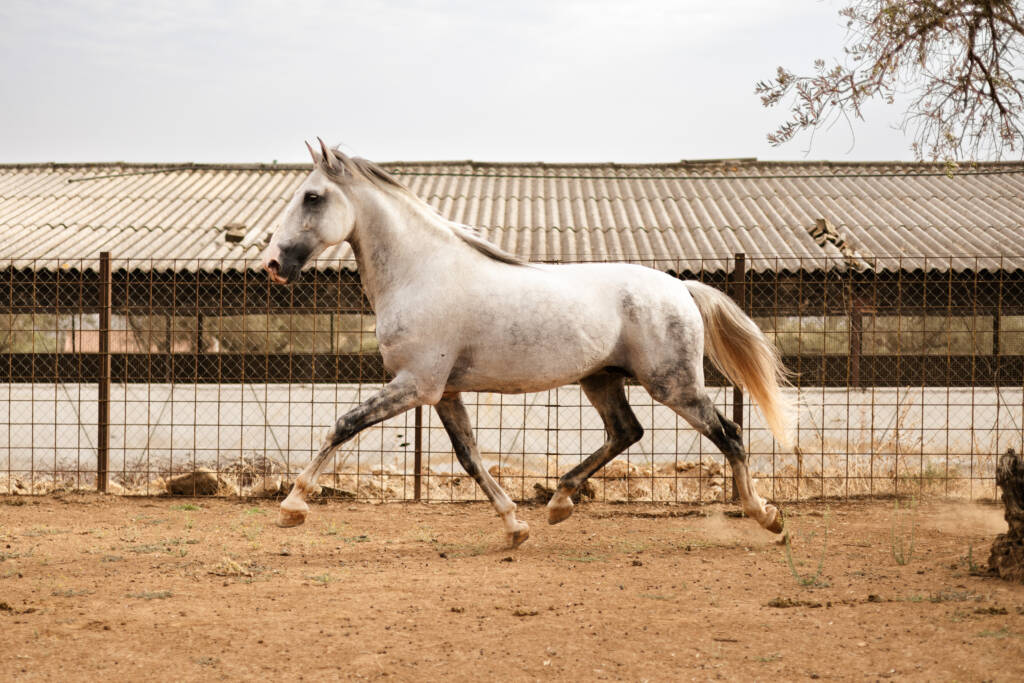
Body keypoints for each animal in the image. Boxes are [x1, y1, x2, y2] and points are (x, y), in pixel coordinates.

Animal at [262, 140, 794, 548]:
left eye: (312, 197)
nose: (272, 264)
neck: (422, 273)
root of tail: (681, 287)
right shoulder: (445, 392)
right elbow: (470, 459)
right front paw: (515, 527)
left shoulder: (416, 385)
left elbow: (344, 424)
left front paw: (292, 506)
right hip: (601, 380)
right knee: (626, 432)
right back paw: (558, 503)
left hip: (673, 384)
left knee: (729, 434)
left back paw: (767, 517)